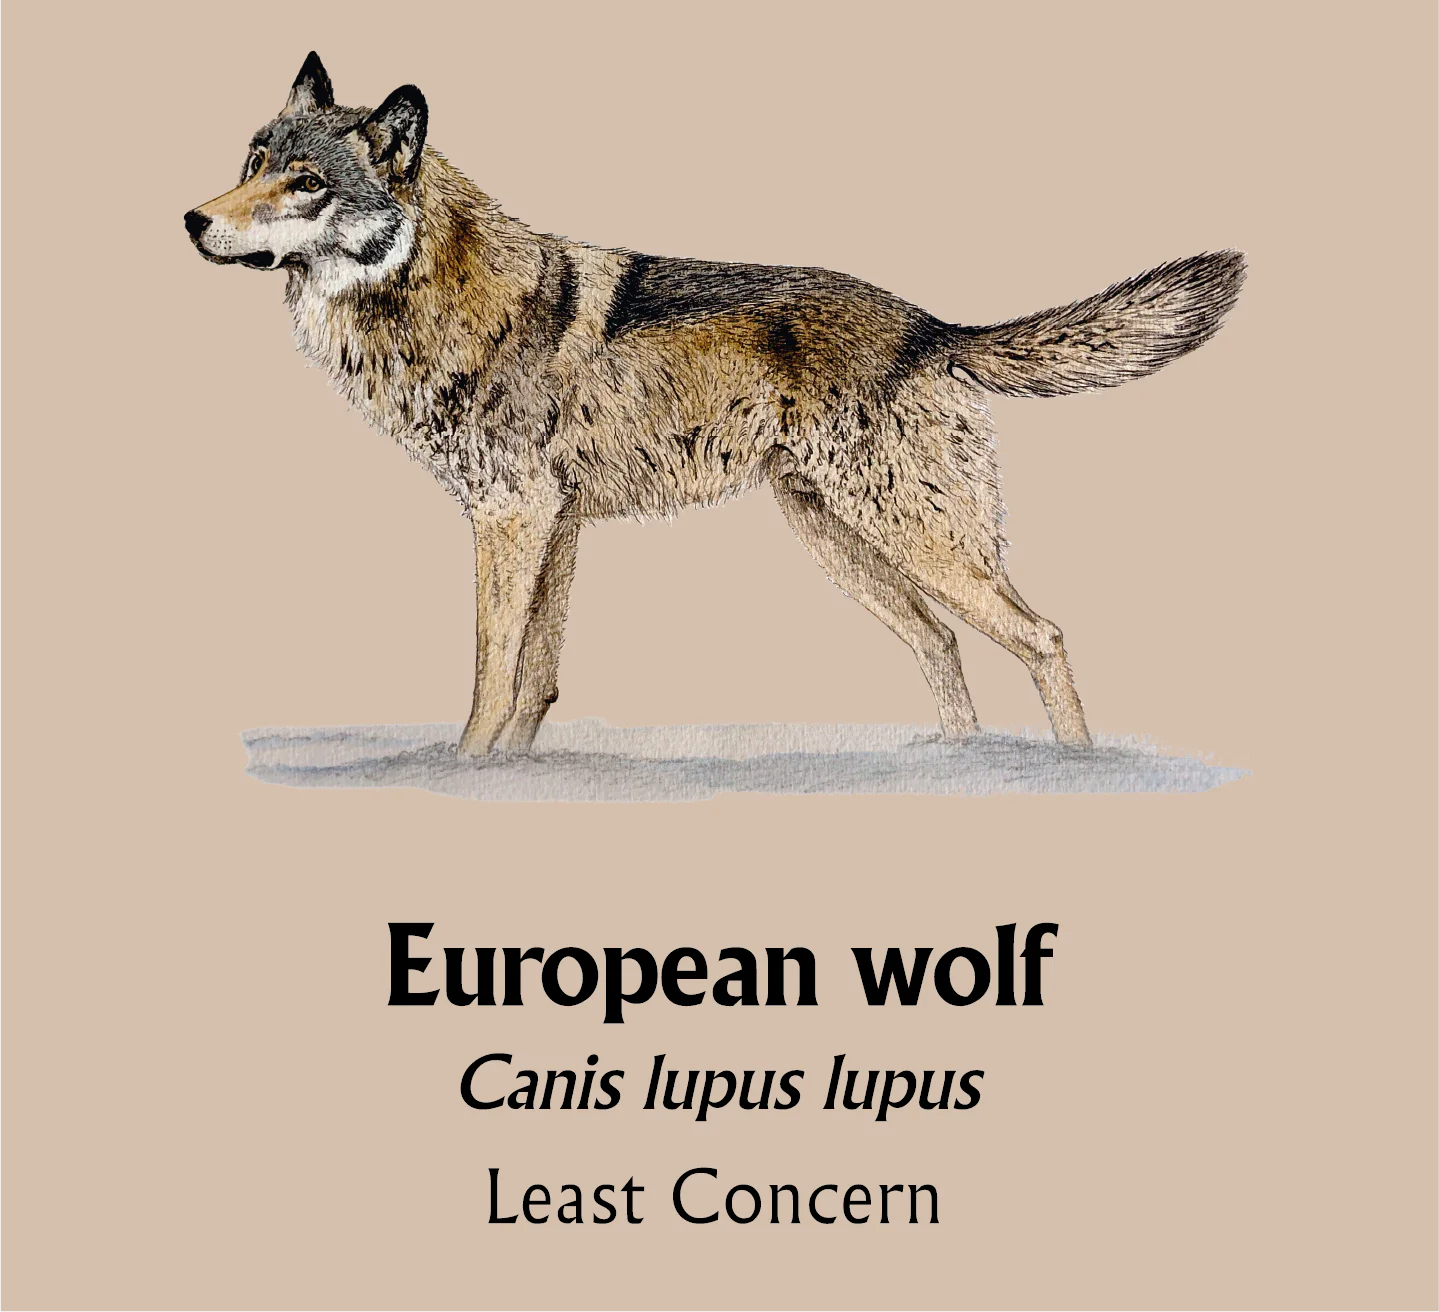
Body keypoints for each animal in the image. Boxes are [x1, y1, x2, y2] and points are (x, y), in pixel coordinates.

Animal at [186, 53, 1244, 757]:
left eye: (306, 183)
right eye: (251, 160)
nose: (192, 220)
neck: (430, 292)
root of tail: (930, 325)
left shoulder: (510, 519)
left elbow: (492, 671)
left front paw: (457, 773)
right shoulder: (554, 527)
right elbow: (534, 680)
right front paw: (503, 777)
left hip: (912, 539)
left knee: (1042, 637)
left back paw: (1074, 774)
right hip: (839, 542)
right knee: (944, 643)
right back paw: (959, 765)